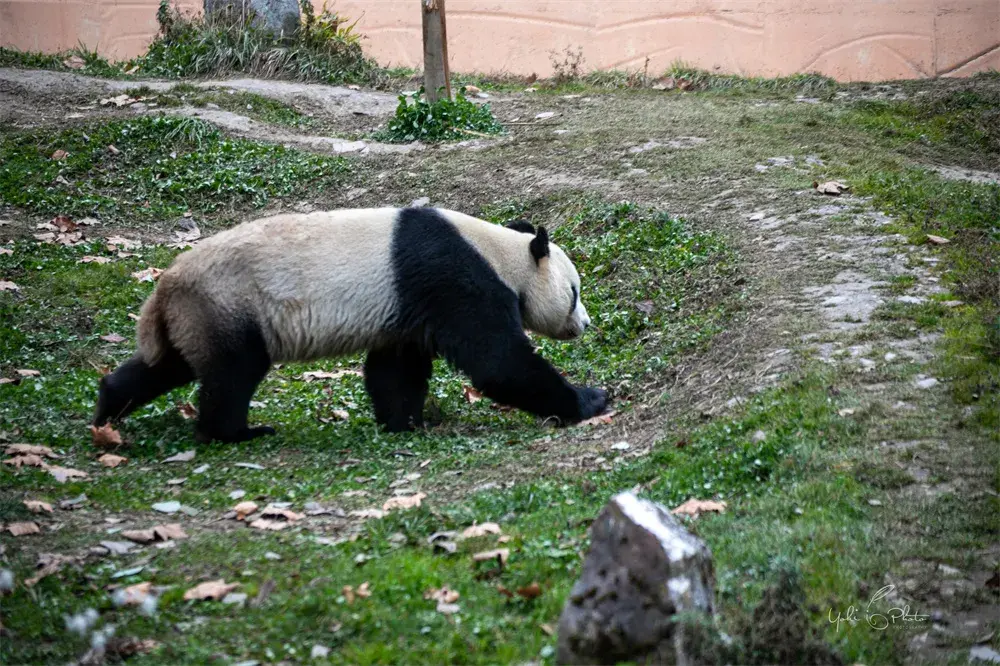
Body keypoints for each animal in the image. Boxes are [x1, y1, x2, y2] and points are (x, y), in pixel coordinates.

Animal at [94, 205, 608, 438]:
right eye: (575, 292)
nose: (583, 325)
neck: (498, 251)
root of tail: (164, 286)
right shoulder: (454, 278)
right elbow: (498, 362)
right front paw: (588, 399)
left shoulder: (406, 306)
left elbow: (395, 369)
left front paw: (405, 422)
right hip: (230, 301)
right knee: (233, 372)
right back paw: (237, 432)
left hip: (197, 315)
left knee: (167, 365)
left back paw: (108, 408)